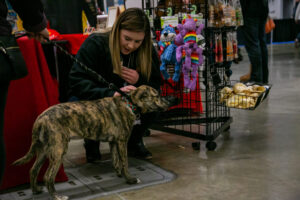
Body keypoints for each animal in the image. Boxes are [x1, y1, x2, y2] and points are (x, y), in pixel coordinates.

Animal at [13, 85, 178, 200]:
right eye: (157, 95)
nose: (172, 99)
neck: (129, 104)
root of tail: (40, 119)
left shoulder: (114, 142)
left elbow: (116, 161)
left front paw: (119, 174)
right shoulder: (122, 142)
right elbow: (124, 162)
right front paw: (130, 179)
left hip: (44, 149)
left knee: (33, 170)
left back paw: (36, 190)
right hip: (58, 149)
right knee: (48, 176)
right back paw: (57, 196)